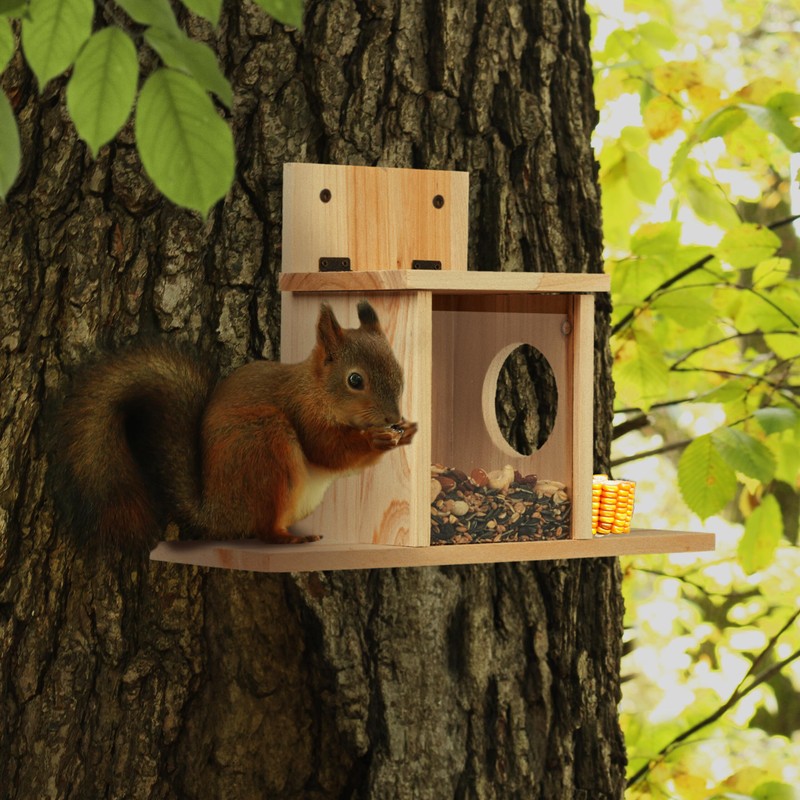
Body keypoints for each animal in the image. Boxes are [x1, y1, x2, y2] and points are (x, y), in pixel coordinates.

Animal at [52, 300, 418, 550]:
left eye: (399, 370)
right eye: (355, 380)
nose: (392, 418)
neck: (315, 390)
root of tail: (216, 513)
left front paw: (408, 431)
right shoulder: (303, 413)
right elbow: (328, 450)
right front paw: (376, 440)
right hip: (264, 444)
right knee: (263, 530)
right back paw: (288, 539)